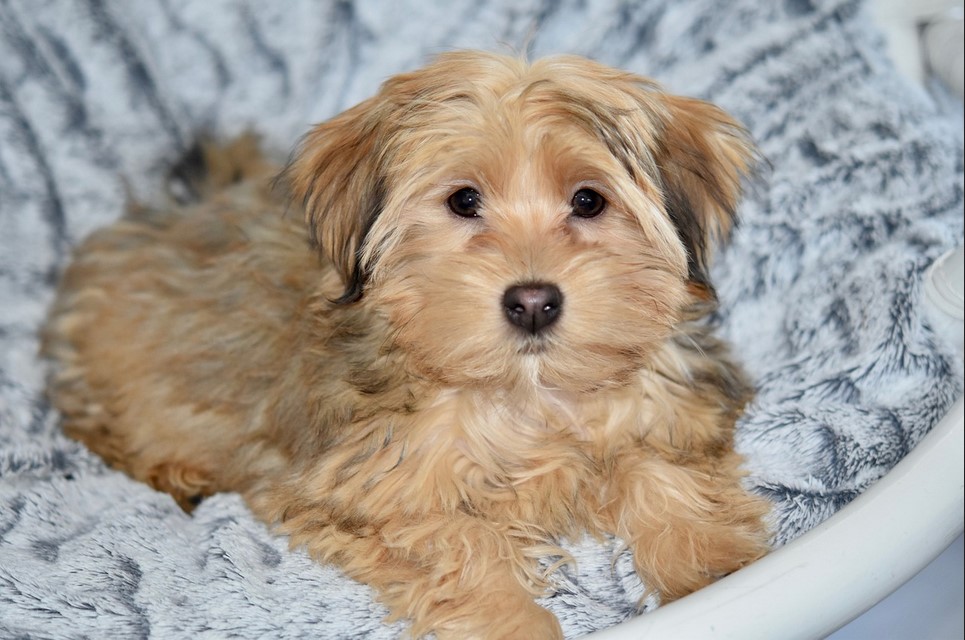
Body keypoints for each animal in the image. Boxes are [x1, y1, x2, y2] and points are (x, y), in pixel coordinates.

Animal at [43, 51, 768, 640]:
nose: (533, 301)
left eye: (588, 201)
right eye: (464, 200)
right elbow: (458, 540)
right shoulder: (358, 487)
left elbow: (661, 471)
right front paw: (512, 620)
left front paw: (713, 569)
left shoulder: (672, 410)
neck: (525, 395)